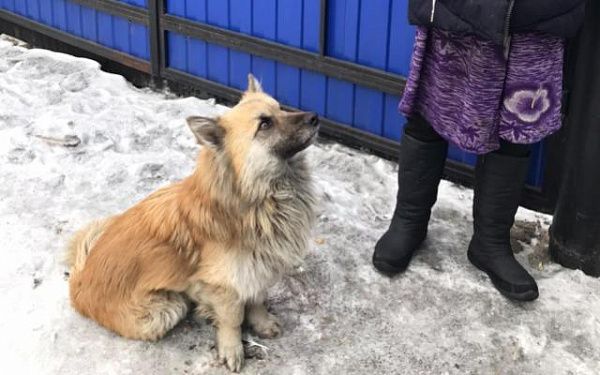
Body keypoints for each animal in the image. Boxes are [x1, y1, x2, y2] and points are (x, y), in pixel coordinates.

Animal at [67, 74, 318, 374]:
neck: (257, 199)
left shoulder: (257, 268)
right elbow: (233, 319)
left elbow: (257, 300)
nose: (315, 117)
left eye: (280, 108)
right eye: (265, 124)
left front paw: (262, 323)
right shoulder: (227, 284)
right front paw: (232, 348)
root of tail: (78, 282)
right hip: (164, 310)